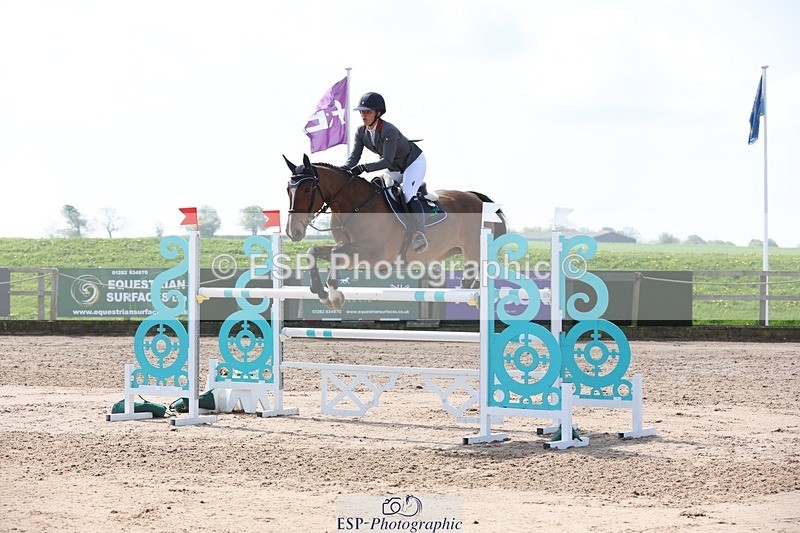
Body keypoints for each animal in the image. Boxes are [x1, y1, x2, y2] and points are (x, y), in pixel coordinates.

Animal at [283, 154, 507, 309]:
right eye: (288, 190)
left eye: (306, 190)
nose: (293, 231)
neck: (355, 206)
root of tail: (476, 197)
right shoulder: (348, 250)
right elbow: (314, 251)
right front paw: (320, 293)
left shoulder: (372, 253)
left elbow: (334, 254)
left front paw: (335, 298)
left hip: (473, 251)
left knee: (478, 269)